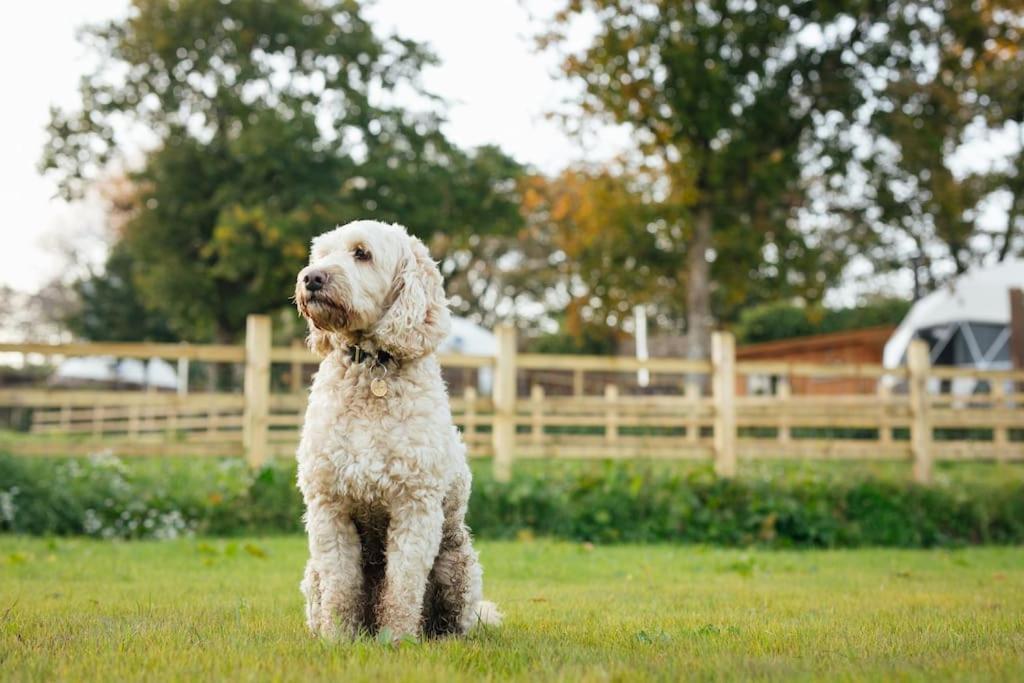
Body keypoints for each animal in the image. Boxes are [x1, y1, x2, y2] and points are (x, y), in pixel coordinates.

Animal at [292, 219, 499, 643]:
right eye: (321, 254)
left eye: (362, 253)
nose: (311, 278)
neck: (372, 366)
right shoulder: (329, 507)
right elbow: (341, 586)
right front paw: (338, 639)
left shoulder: (414, 507)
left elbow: (403, 584)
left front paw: (397, 641)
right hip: (312, 573)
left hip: (458, 563)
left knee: (449, 619)